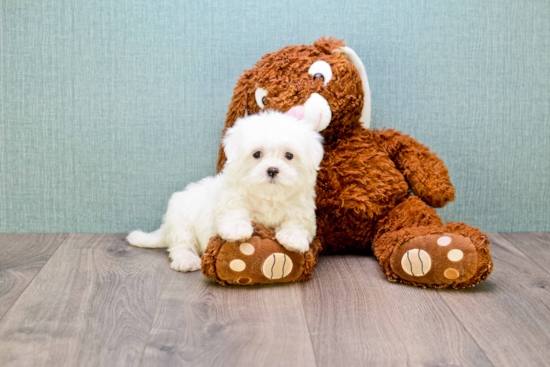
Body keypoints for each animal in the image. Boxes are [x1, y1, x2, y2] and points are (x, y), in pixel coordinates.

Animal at [127, 111, 326, 274]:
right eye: (257, 154)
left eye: (289, 156)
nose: (272, 170)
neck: (268, 195)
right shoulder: (231, 198)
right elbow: (234, 213)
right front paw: (237, 229)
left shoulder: (301, 208)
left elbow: (298, 223)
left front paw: (293, 238)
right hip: (181, 222)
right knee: (181, 244)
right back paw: (186, 260)